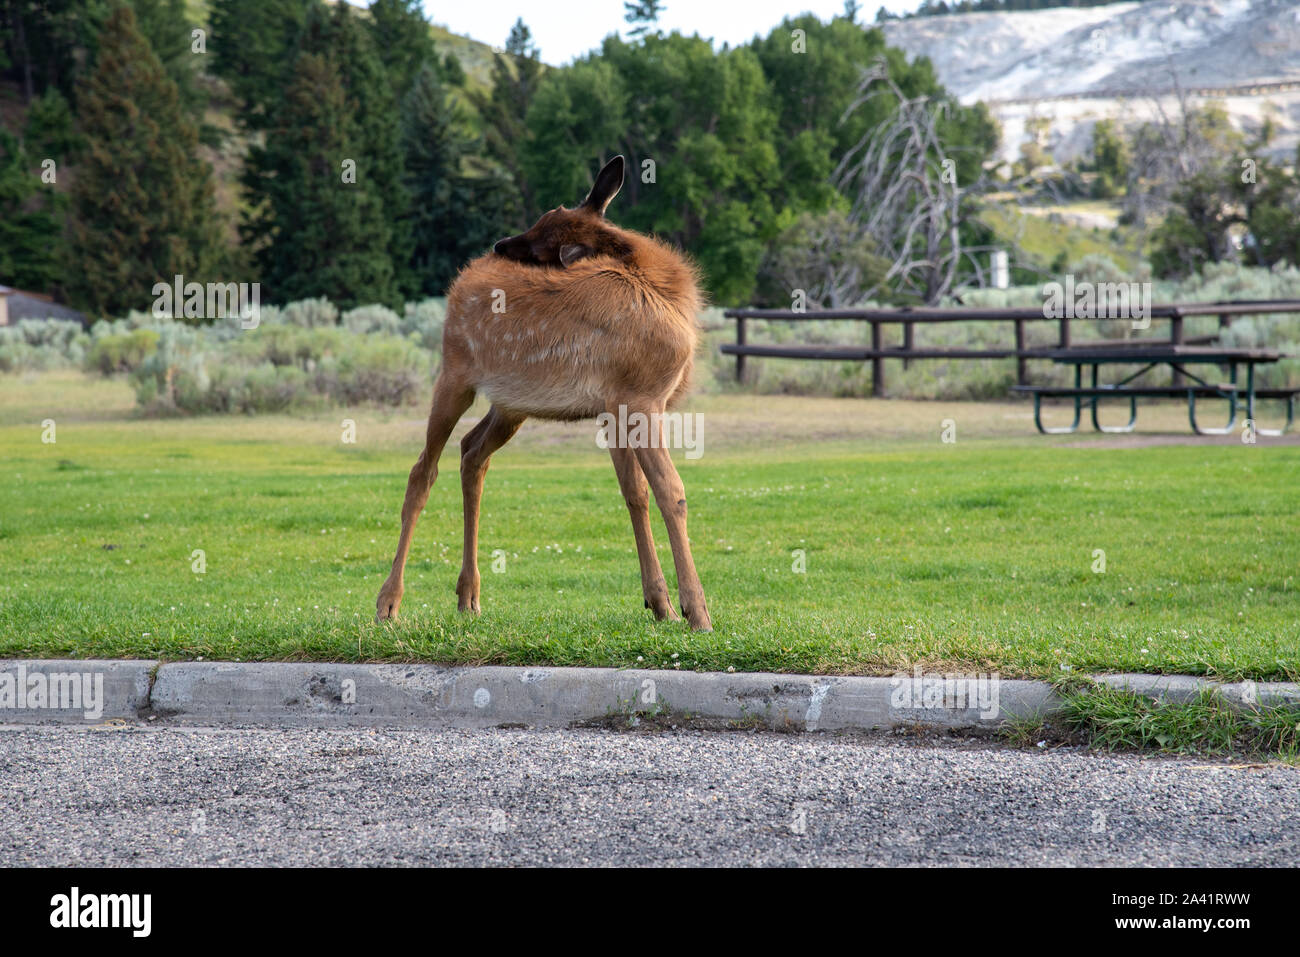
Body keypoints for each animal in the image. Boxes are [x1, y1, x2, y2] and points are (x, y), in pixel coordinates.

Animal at [377, 157, 712, 631]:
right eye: (544, 217)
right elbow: (671, 492)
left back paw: (469, 595)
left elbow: (635, 492)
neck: (664, 290)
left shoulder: (617, 407)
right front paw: (695, 610)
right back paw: (389, 601)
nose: (500, 244)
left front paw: (659, 604)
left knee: (471, 452)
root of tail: (458, 282)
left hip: (510, 404)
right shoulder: (640, 397)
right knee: (422, 471)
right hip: (455, 373)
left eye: (544, 235)